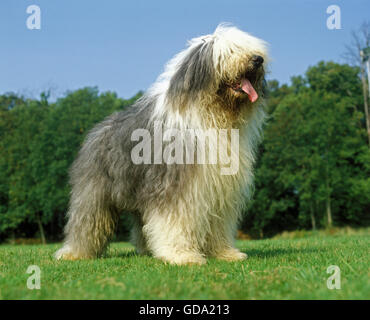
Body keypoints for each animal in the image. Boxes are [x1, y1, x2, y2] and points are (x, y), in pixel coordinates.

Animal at [55, 24, 268, 264]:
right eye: (230, 51)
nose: (258, 59)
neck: (212, 114)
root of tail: (97, 130)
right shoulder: (176, 185)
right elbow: (176, 222)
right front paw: (182, 255)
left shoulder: (218, 188)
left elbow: (218, 224)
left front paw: (225, 253)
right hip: (94, 192)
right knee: (86, 221)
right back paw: (74, 252)